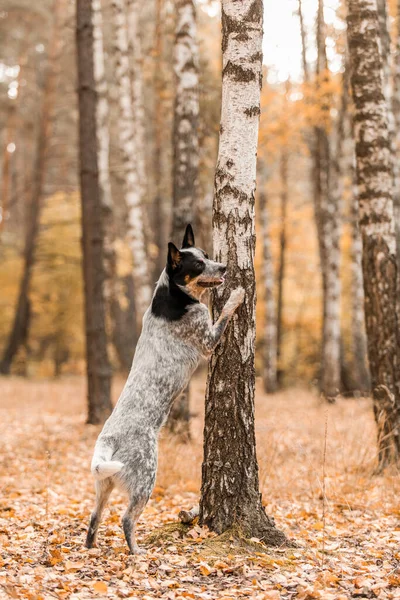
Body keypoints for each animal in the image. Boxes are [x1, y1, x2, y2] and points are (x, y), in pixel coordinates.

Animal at [86, 224, 245, 552]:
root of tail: (108, 439)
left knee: (94, 518)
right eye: (198, 264)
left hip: (102, 484)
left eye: (207, 255)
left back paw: (90, 548)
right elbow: (224, 313)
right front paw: (237, 293)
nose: (224, 267)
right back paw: (136, 552)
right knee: (126, 519)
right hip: (146, 477)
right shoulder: (208, 339)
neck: (172, 295)